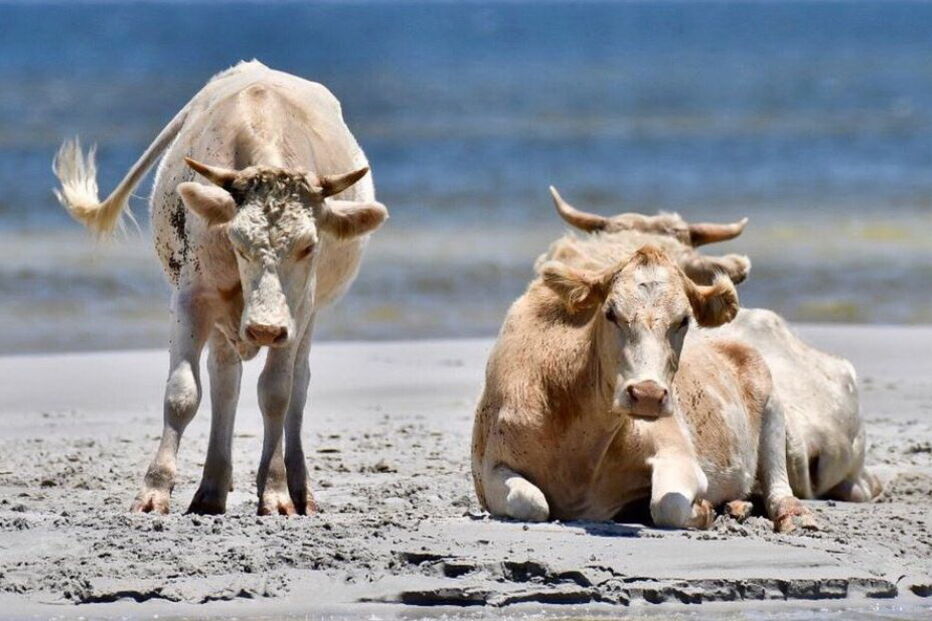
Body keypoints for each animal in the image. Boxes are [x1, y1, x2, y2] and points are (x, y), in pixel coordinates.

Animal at [52, 61, 388, 516]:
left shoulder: (297, 312)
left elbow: (277, 394)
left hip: (308, 318)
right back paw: (212, 488)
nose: (264, 329)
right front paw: (154, 490)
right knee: (224, 380)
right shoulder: (192, 298)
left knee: (298, 386)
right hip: (222, 320)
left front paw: (276, 493)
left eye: (309, 246)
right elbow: (182, 393)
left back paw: (298, 488)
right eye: (237, 241)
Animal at [472, 245, 815, 532]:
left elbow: (669, 505)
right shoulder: (490, 468)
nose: (648, 395)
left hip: (771, 401)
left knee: (778, 485)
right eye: (610, 313)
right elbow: (530, 503)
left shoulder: (677, 452)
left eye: (684, 320)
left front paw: (704, 510)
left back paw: (792, 516)